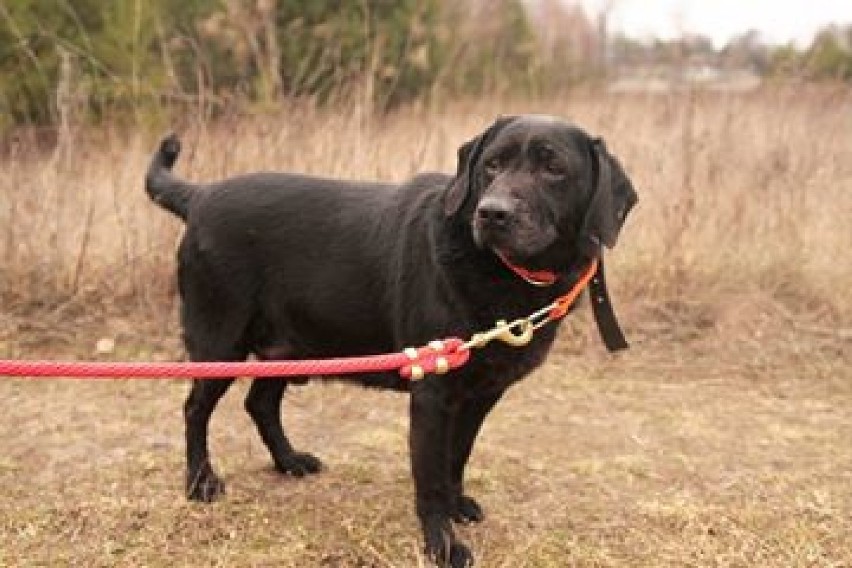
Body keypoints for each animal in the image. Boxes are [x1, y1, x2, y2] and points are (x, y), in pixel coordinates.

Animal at [146, 114, 636, 564]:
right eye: (492, 165)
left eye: (554, 169)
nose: (493, 212)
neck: (503, 274)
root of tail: (201, 196)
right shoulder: (432, 394)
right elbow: (430, 478)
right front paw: (443, 545)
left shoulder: (482, 394)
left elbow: (456, 458)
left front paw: (458, 506)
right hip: (219, 341)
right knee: (195, 409)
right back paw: (200, 483)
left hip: (291, 348)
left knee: (260, 403)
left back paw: (289, 462)